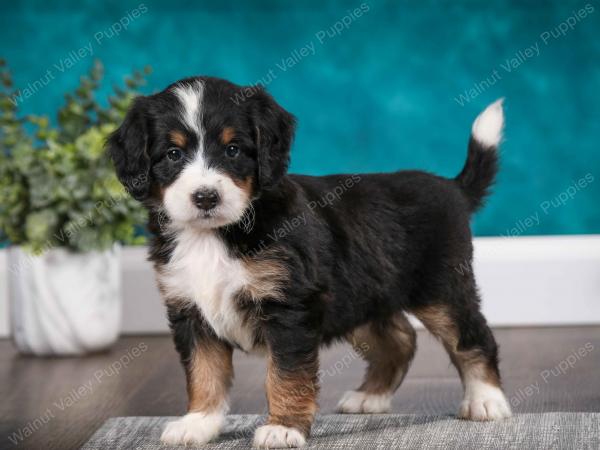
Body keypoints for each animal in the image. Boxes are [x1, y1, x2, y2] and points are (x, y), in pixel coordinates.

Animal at [108, 76, 510, 446]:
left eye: (233, 149)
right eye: (173, 155)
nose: (205, 197)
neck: (215, 235)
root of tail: (452, 186)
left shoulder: (289, 307)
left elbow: (286, 374)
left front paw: (283, 428)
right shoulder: (190, 309)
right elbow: (203, 372)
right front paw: (198, 423)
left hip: (441, 290)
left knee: (473, 338)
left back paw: (486, 400)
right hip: (358, 297)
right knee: (400, 339)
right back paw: (370, 397)